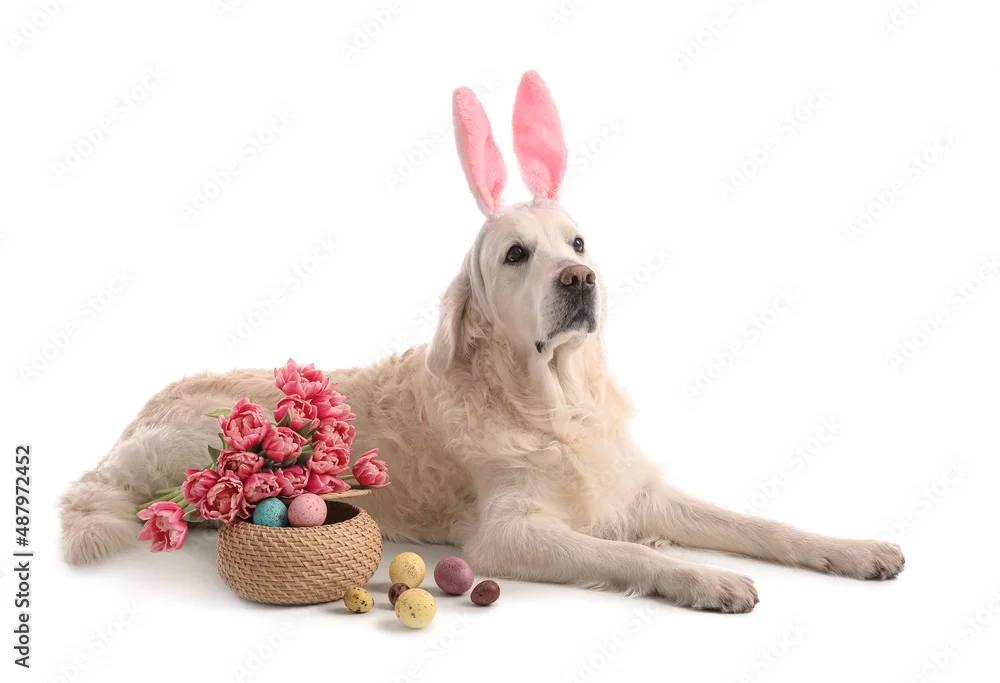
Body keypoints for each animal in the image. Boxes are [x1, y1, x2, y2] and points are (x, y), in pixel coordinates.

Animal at [60, 71, 903, 612]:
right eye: (517, 254)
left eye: (578, 242)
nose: (579, 279)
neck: (553, 404)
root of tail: (132, 419)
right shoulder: (511, 532)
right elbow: (628, 551)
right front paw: (707, 579)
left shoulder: (637, 488)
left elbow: (761, 522)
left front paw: (854, 549)